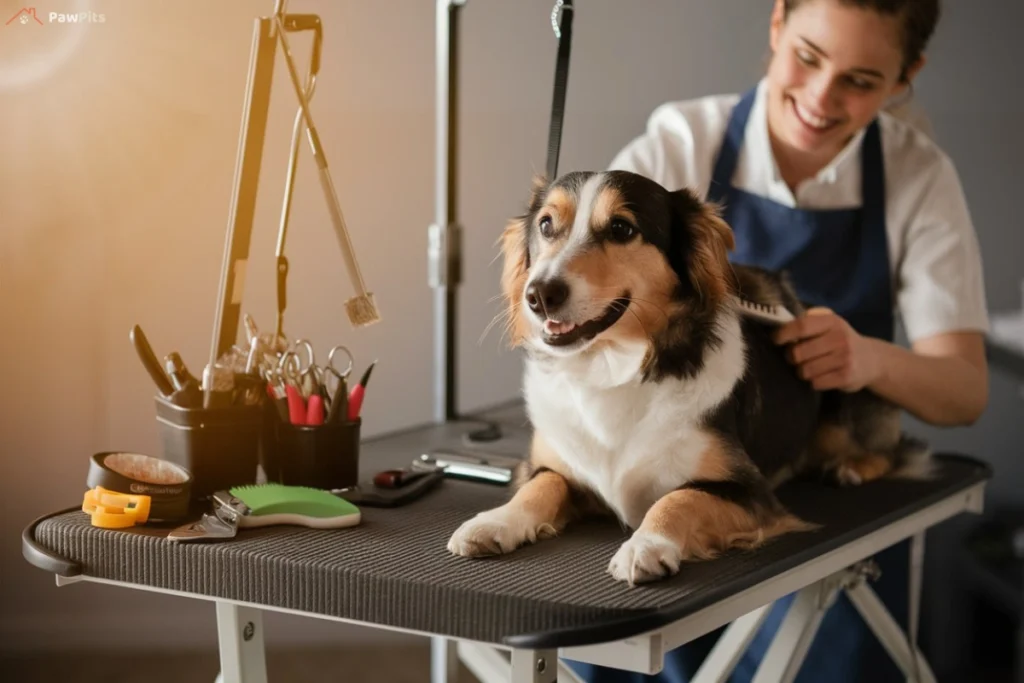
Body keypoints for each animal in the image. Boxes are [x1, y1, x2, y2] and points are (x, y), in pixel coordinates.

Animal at [444, 167, 933, 585]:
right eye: (546, 225)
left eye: (621, 228)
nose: (539, 294)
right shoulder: (555, 466)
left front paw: (646, 545)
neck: (612, 368)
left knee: (898, 449)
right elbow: (540, 486)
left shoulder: (750, 492)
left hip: (845, 385)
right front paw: (497, 520)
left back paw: (851, 468)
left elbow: (677, 498)